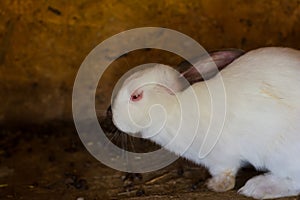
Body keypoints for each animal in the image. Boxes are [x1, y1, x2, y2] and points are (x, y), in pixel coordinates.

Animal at [111, 47, 300, 198]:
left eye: (136, 96)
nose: (114, 117)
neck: (173, 105)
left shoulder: (221, 157)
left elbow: (226, 173)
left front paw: (215, 185)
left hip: (281, 156)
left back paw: (257, 188)